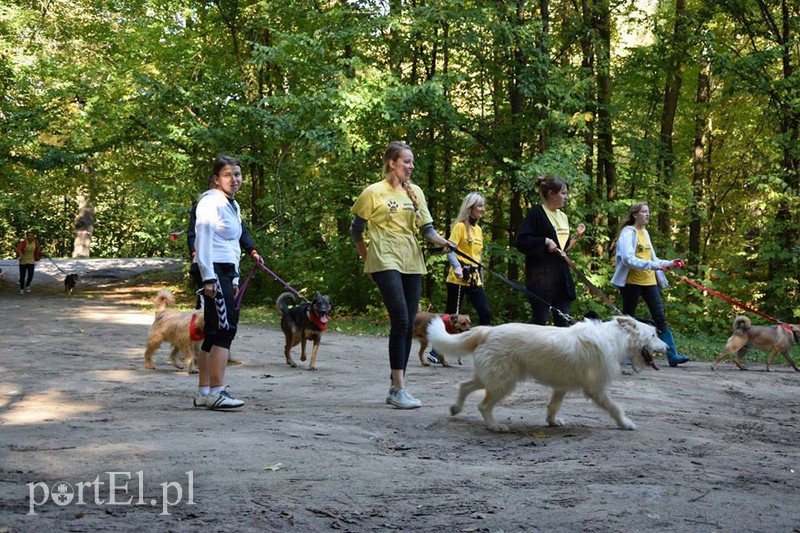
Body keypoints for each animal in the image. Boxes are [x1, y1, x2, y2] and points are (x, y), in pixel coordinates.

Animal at [428, 316, 664, 432]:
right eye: (653, 335)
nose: (668, 347)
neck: (615, 338)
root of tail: (487, 330)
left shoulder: (561, 386)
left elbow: (553, 406)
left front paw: (552, 422)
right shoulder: (595, 389)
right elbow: (615, 408)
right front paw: (626, 424)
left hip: (491, 378)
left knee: (464, 386)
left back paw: (455, 408)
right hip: (504, 382)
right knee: (483, 405)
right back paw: (495, 426)